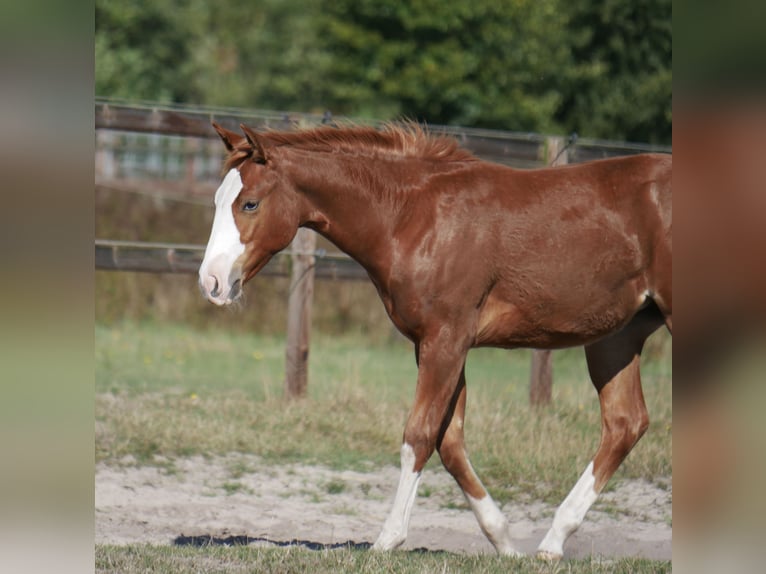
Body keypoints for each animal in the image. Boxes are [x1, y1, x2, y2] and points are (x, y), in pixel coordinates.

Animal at [198, 121, 672, 559]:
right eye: (218, 201)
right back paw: (552, 543)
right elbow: (450, 441)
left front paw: (388, 540)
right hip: (616, 337)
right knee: (626, 423)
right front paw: (504, 542)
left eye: (250, 203)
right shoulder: (434, 343)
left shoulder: (447, 339)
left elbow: (420, 434)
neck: (414, 216)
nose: (212, 282)